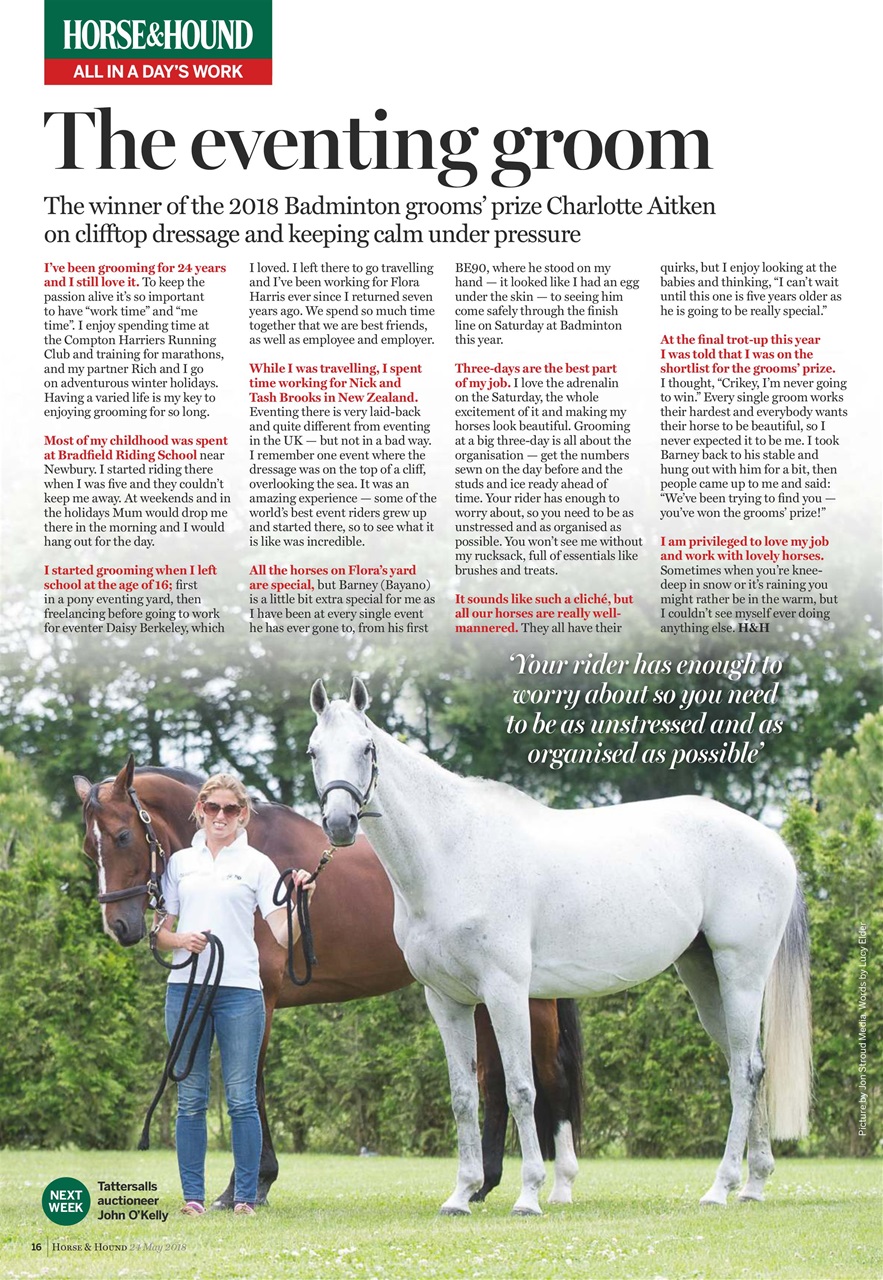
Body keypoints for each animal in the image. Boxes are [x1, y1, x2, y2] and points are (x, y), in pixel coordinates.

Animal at [74, 757, 584, 1208]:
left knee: (549, 1078)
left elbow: (250, 1080)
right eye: (86, 847)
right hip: (477, 996)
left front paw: (250, 1185)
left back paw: (557, 1185)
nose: (118, 926)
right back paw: (484, 1185)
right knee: (495, 1081)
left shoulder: (261, 998)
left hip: (526, 999)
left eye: (122, 836)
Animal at [309, 678, 813, 1216]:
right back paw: (753, 1184)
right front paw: (461, 1194)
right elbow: (463, 1095)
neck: (453, 851)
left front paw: (528, 1194)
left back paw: (720, 1187)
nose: (339, 824)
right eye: (314, 751)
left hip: (741, 974)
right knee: (750, 1066)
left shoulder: (506, 991)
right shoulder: (445, 1000)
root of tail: (774, 844)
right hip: (705, 977)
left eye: (366, 748)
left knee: (744, 1072)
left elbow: (520, 1088)